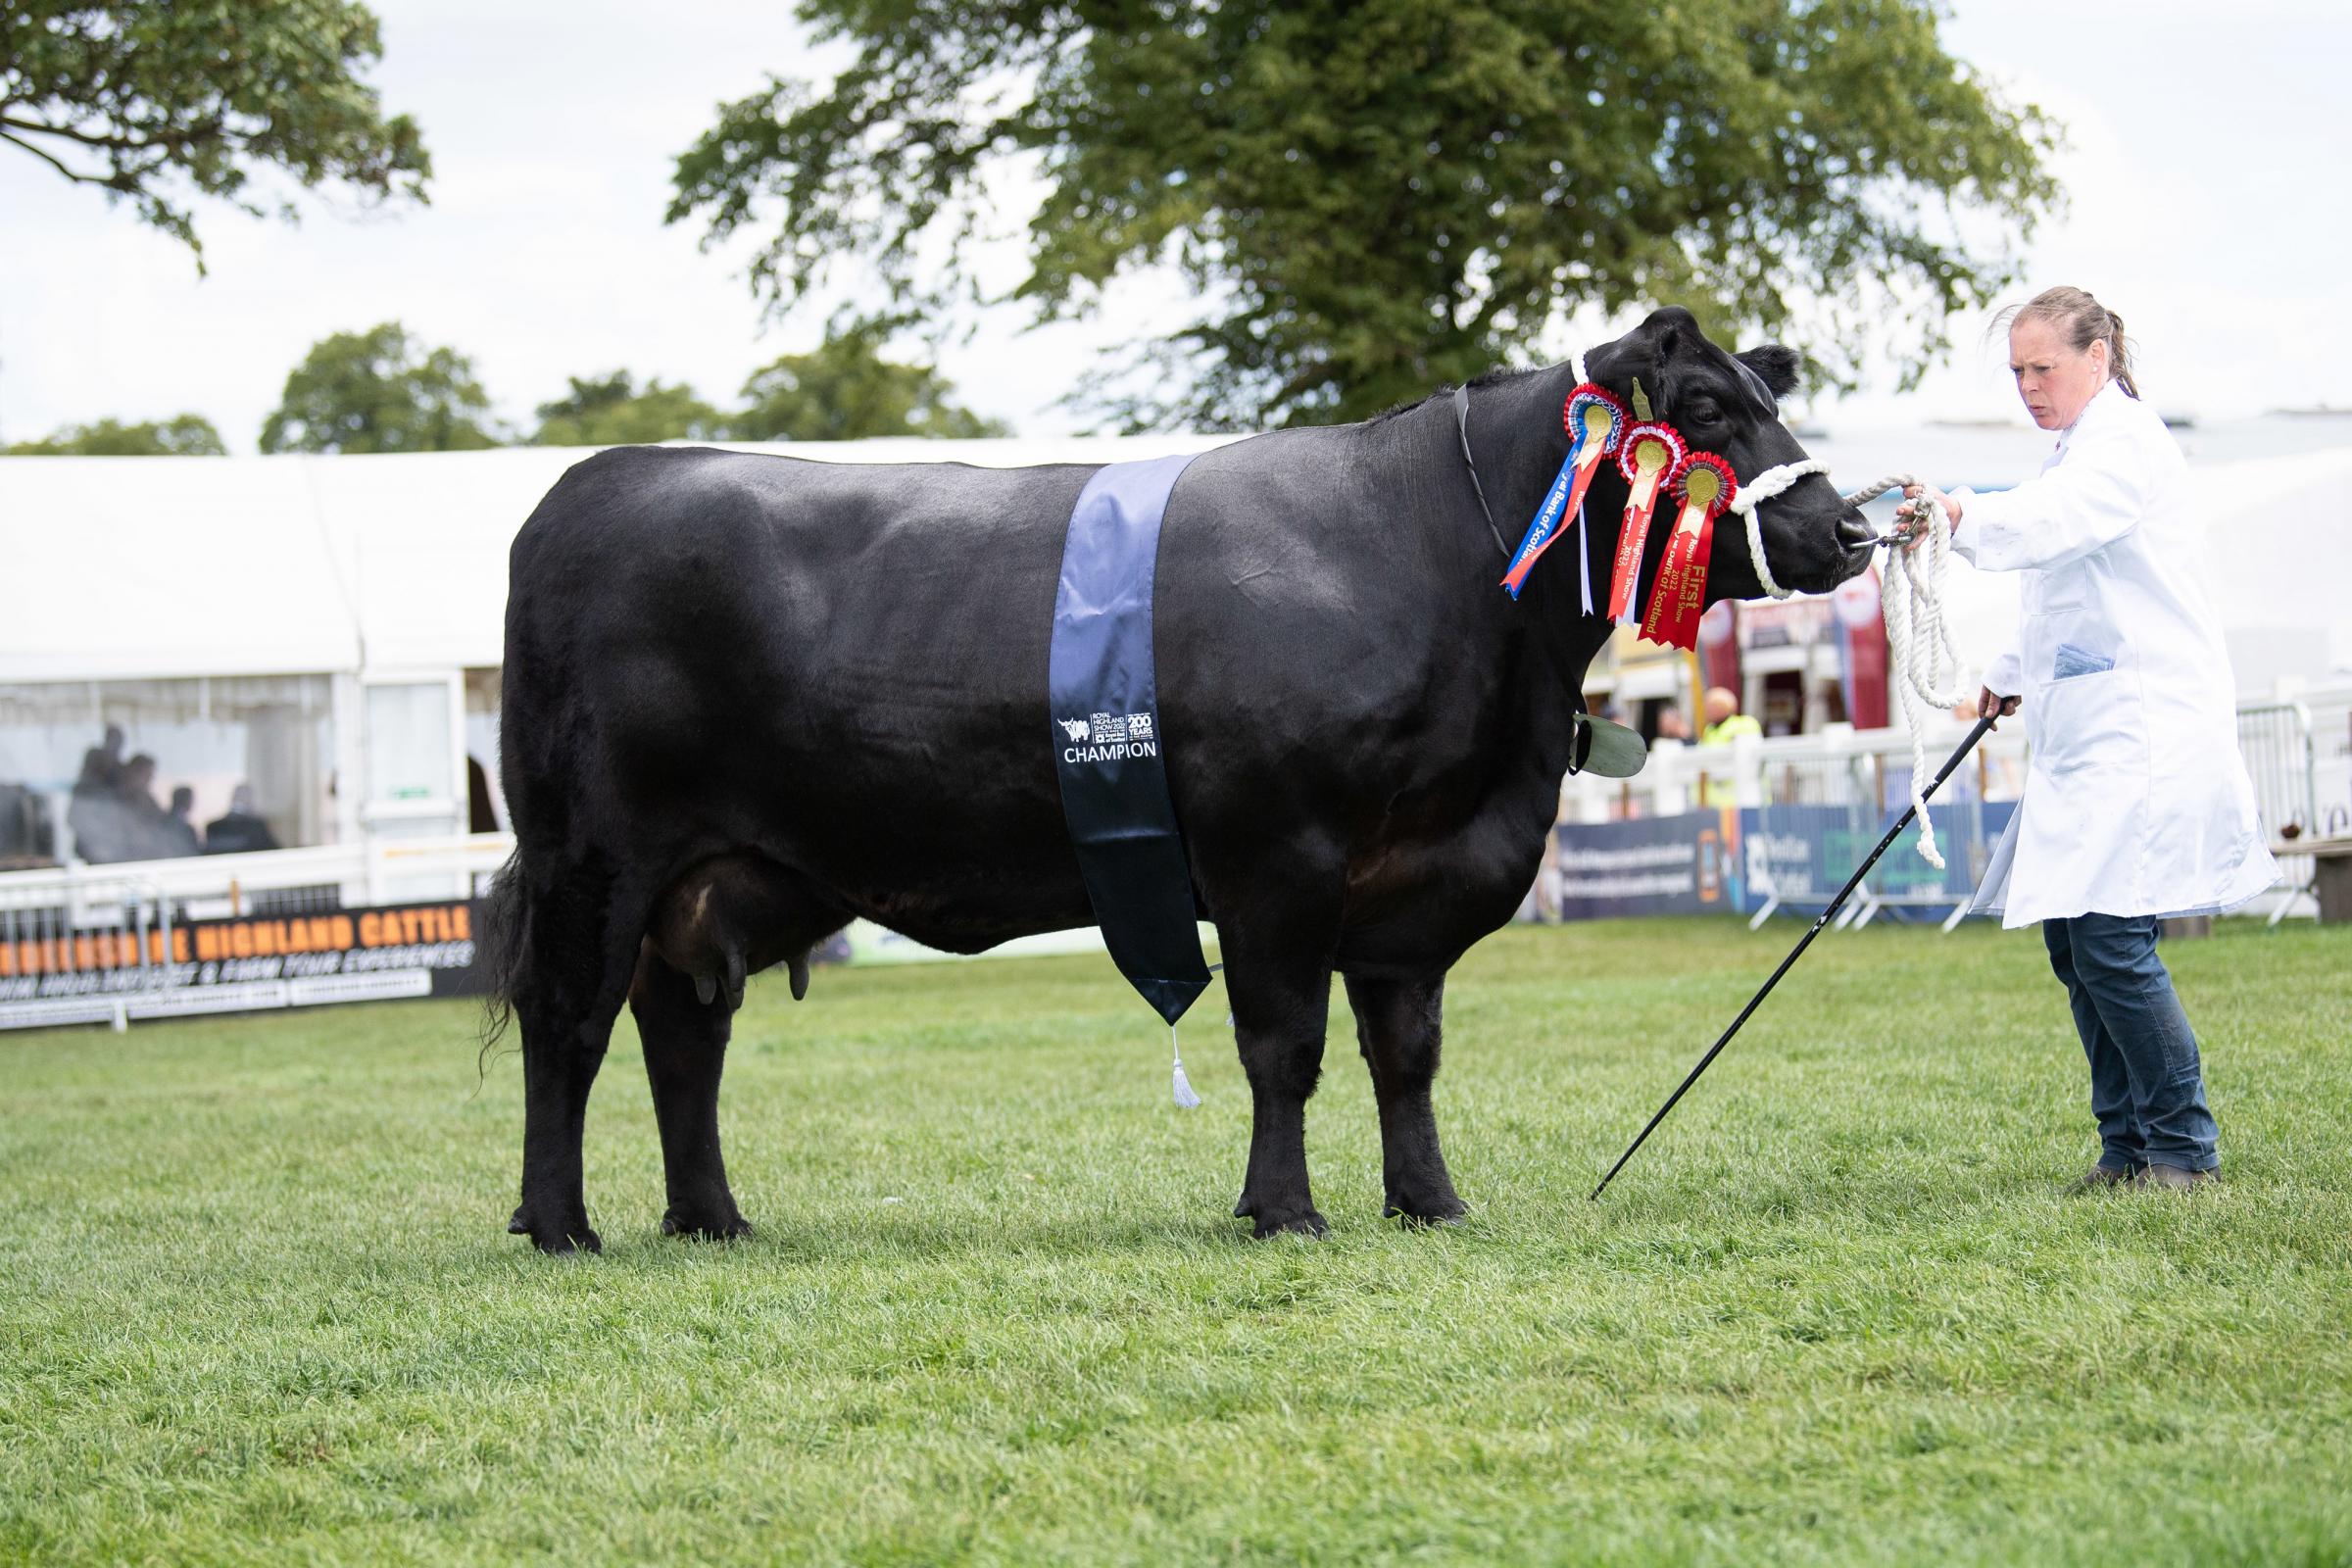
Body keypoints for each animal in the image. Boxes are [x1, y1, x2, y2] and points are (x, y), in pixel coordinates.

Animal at [486, 313, 1862, 1259]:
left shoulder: (1414, 881)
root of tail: (591, 482)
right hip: (593, 860)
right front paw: (1284, 1211)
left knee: (683, 1032)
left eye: (1766, 401)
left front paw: (1429, 1201)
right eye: (1702, 409)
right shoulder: (1277, 859)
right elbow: (1286, 1046)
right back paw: (560, 1227)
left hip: (718, 876)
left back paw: (711, 1217)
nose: (1849, 526)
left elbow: (1406, 1054)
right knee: (569, 1028)